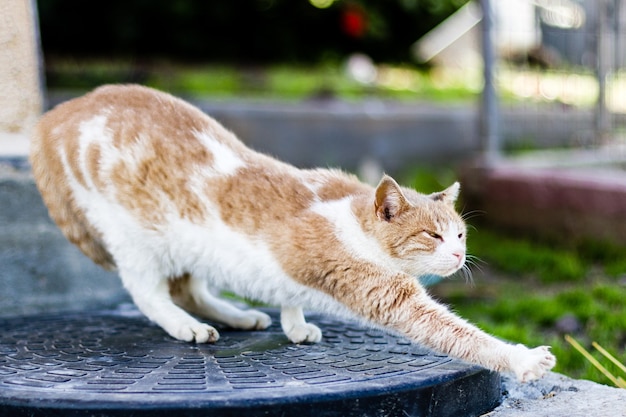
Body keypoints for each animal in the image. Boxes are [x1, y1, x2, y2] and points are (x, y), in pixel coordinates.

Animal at [31, 83, 552, 380]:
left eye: (460, 236)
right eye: (432, 236)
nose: (460, 257)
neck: (355, 220)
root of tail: (62, 112)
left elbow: (289, 295)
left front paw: (294, 322)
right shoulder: (384, 292)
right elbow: (460, 334)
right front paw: (523, 359)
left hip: (188, 251)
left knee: (189, 287)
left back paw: (238, 316)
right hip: (136, 239)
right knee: (150, 293)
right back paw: (187, 325)